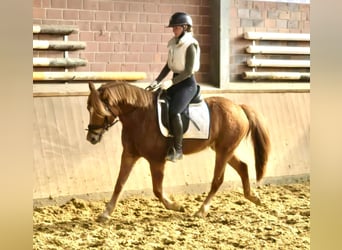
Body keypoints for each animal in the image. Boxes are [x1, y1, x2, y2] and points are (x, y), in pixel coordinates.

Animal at [85, 82, 270, 221]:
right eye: (89, 109)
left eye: (99, 110)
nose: (91, 138)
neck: (140, 116)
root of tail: (239, 107)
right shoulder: (129, 155)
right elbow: (119, 184)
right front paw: (106, 213)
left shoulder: (156, 160)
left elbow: (157, 190)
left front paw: (176, 206)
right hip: (224, 150)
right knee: (243, 167)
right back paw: (253, 197)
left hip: (224, 151)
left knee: (218, 180)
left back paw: (201, 211)